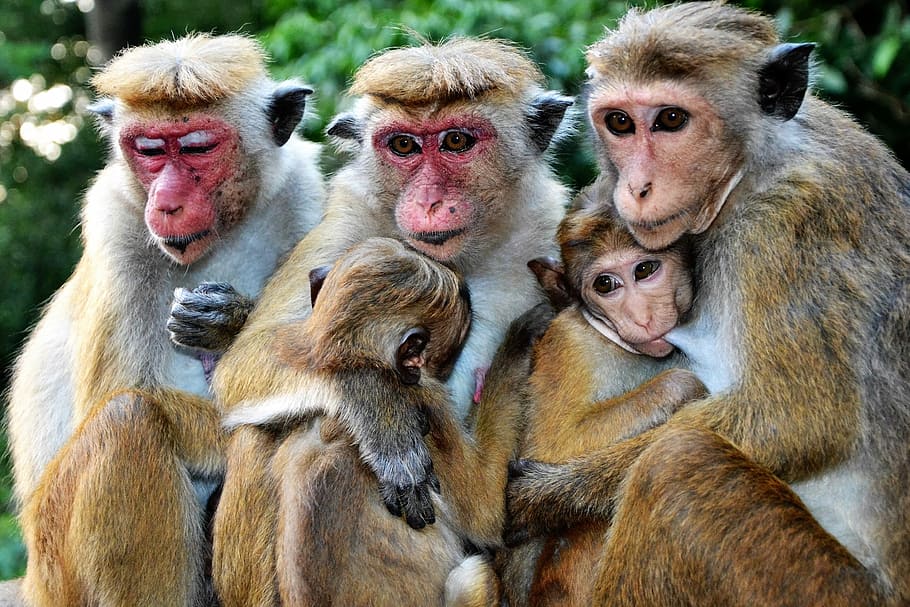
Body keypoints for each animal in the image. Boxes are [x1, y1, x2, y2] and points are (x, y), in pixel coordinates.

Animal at [6, 34, 325, 607]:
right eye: (150, 151)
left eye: (197, 149)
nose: (167, 202)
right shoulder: (115, 223)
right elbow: (121, 389)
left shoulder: (304, 198)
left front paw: (227, 322)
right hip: (56, 559)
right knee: (128, 419)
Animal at [165, 37, 573, 606]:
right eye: (402, 146)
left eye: (457, 141)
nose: (429, 200)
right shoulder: (345, 226)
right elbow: (250, 362)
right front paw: (377, 407)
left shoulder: (546, 232)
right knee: (265, 427)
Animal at [504, 3, 910, 605]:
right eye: (620, 123)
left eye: (672, 120)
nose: (636, 188)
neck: (753, 168)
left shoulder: (788, 228)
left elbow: (795, 421)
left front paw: (547, 496)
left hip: (818, 586)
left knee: (676, 464)